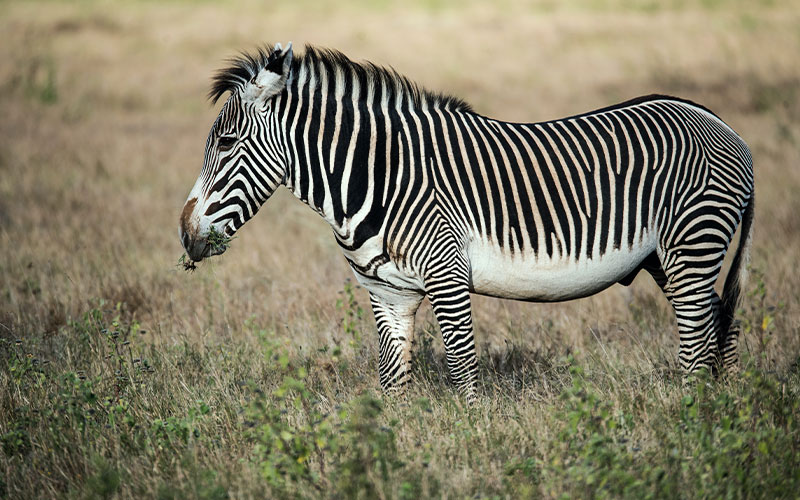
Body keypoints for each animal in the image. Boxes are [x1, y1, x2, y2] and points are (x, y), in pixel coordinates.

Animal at [178, 44, 752, 402]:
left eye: (226, 143)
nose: (185, 234)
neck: (377, 177)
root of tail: (718, 123)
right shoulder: (387, 292)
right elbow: (392, 381)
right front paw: (390, 451)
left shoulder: (447, 274)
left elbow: (462, 368)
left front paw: (474, 435)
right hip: (669, 258)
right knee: (721, 325)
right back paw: (723, 413)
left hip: (692, 245)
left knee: (698, 341)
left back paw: (690, 418)